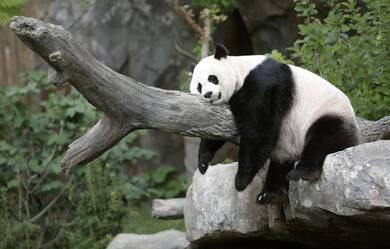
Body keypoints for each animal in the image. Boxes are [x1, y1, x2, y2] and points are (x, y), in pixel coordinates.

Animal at [189, 43, 360, 205]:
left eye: (212, 78)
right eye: (199, 86)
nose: (208, 94)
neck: (241, 70)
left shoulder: (262, 84)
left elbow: (258, 130)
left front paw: (240, 181)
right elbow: (216, 129)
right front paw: (203, 163)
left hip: (328, 113)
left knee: (323, 139)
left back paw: (303, 172)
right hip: (288, 145)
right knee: (280, 164)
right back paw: (270, 194)